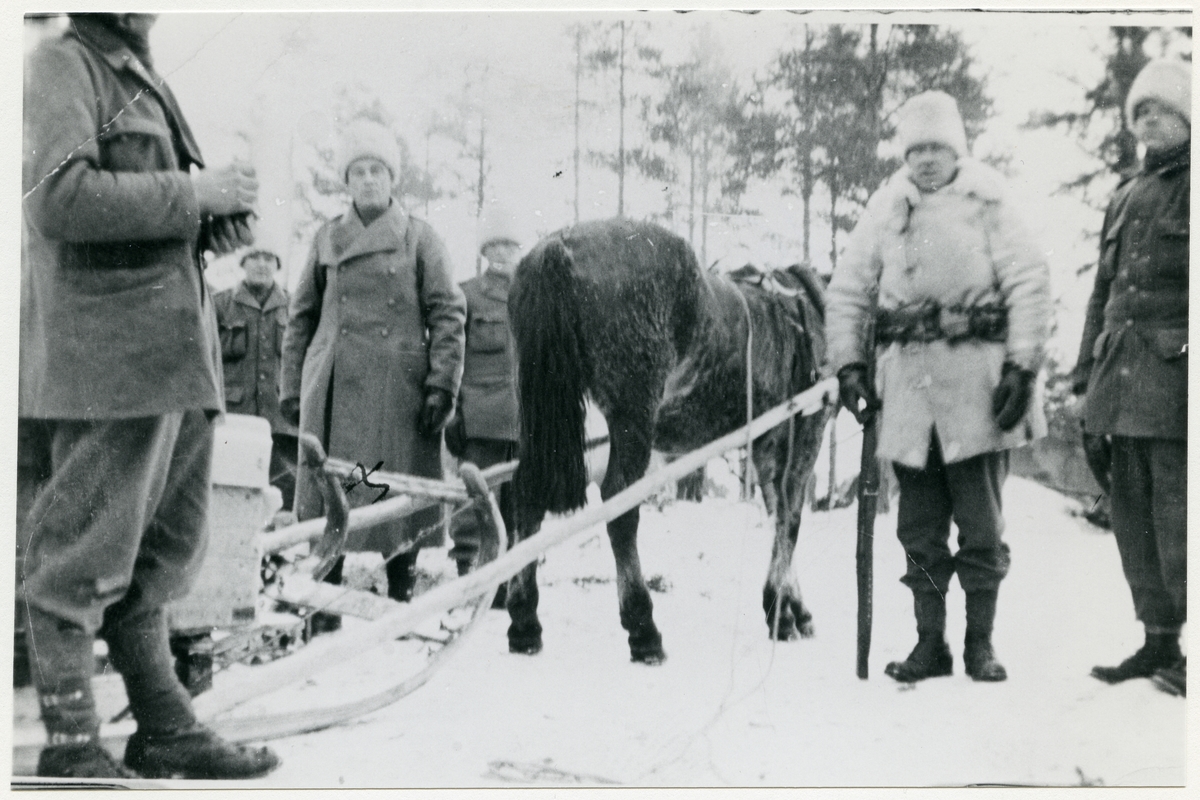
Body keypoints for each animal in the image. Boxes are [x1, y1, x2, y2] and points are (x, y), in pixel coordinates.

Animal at [507, 217, 831, 664]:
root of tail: (559, 246)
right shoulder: (805, 429)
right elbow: (790, 517)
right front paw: (781, 613)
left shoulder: (767, 442)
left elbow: (776, 513)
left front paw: (791, 606)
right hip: (633, 414)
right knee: (620, 507)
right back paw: (643, 627)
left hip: (550, 417)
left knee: (527, 498)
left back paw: (524, 621)